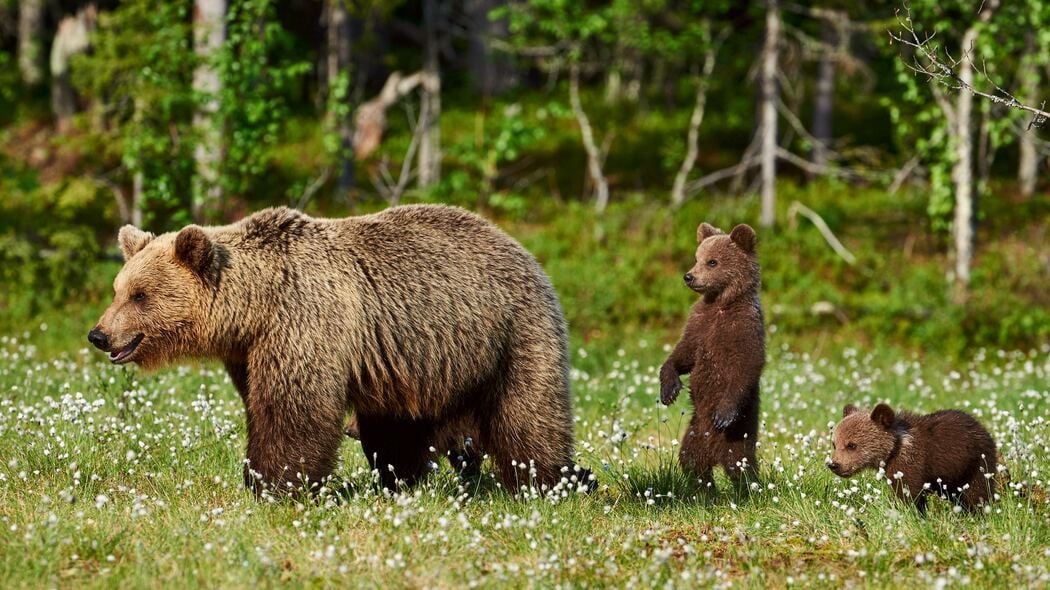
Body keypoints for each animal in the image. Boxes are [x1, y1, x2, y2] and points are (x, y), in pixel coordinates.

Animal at [88, 205, 588, 495]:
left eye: (140, 295)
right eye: (117, 289)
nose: (99, 334)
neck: (254, 307)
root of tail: (521, 247)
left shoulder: (305, 320)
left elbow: (294, 408)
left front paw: (274, 484)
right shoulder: (249, 351)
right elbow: (260, 402)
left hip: (511, 331)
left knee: (528, 414)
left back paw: (550, 480)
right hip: (414, 358)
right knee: (397, 427)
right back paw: (400, 480)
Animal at [659, 222, 765, 490]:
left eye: (712, 262)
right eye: (697, 258)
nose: (689, 276)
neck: (721, 303)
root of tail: (715, 454)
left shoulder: (743, 328)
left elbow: (746, 366)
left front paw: (723, 414)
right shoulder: (699, 325)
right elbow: (683, 354)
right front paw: (669, 389)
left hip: (739, 434)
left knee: (741, 465)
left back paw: (748, 490)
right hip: (694, 432)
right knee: (691, 461)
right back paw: (705, 490)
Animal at [829, 403, 997, 514]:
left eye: (851, 445)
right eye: (834, 444)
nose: (833, 464)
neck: (894, 448)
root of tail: (982, 427)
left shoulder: (910, 465)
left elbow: (907, 493)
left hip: (975, 464)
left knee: (978, 492)